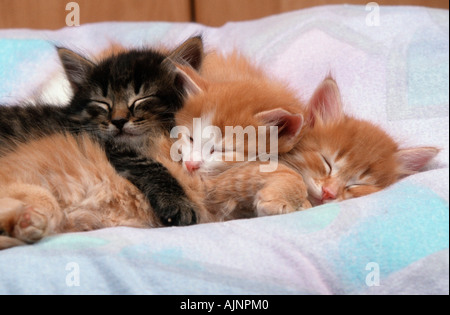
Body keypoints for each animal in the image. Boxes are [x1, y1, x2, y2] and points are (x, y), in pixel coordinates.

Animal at [0, 35, 204, 226]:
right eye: (102, 103)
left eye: (141, 98)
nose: (119, 121)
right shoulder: (99, 143)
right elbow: (149, 165)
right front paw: (177, 202)